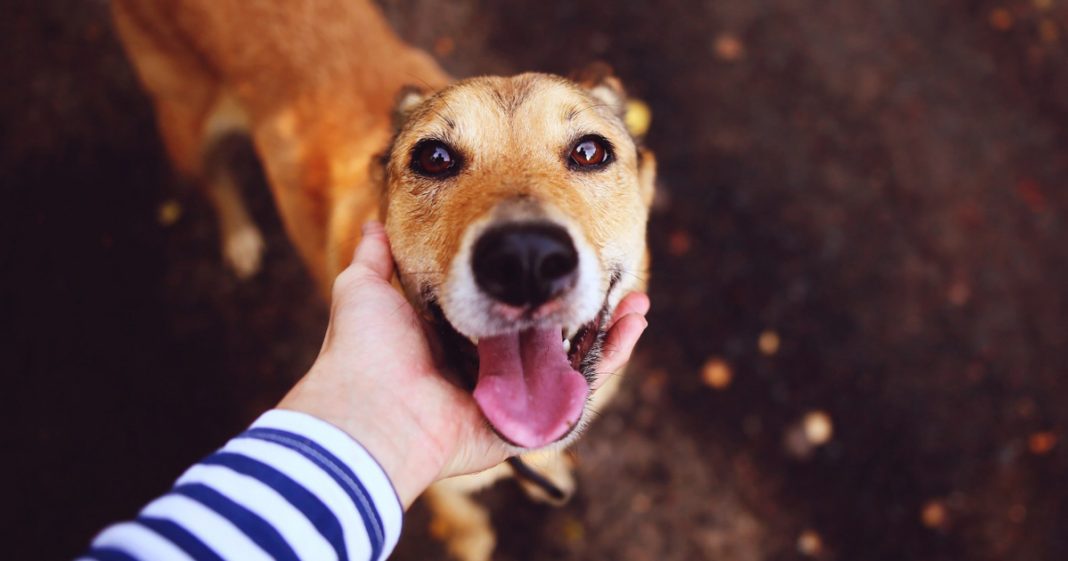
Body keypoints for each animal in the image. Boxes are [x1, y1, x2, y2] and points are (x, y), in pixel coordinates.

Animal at [112, 2, 653, 555]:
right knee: (214, 177)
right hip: (184, 121)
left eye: (590, 152)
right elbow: (467, 527)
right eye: (434, 157)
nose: (525, 260)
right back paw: (239, 236)